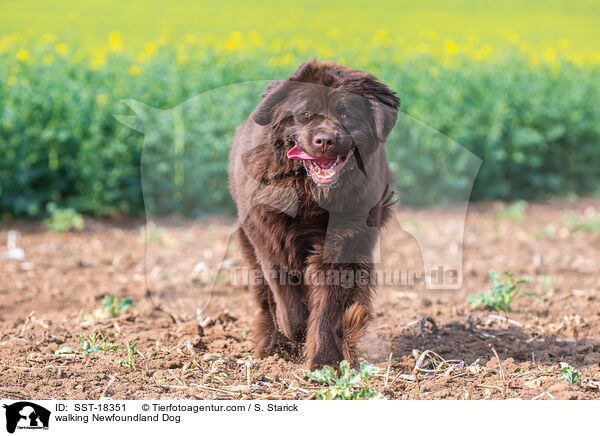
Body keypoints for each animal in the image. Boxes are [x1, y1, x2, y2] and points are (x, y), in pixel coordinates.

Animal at [229, 60, 398, 368]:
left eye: (346, 114)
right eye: (306, 114)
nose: (325, 140)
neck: (311, 196)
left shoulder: (345, 241)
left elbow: (329, 306)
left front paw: (325, 360)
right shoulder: (270, 236)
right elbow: (286, 298)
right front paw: (294, 334)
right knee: (265, 297)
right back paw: (272, 346)